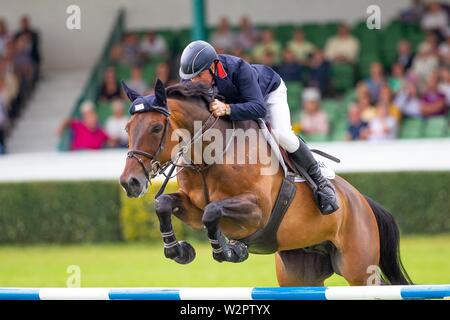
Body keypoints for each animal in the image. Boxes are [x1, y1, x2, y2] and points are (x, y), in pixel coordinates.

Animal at [118, 79, 412, 286]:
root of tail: (362, 201)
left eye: (157, 127)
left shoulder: (257, 211)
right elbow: (164, 204)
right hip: (299, 273)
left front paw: (227, 250)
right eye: (127, 128)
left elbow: (213, 212)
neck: (210, 157)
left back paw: (327, 196)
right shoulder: (192, 207)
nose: (129, 182)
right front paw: (178, 250)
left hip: (359, 269)